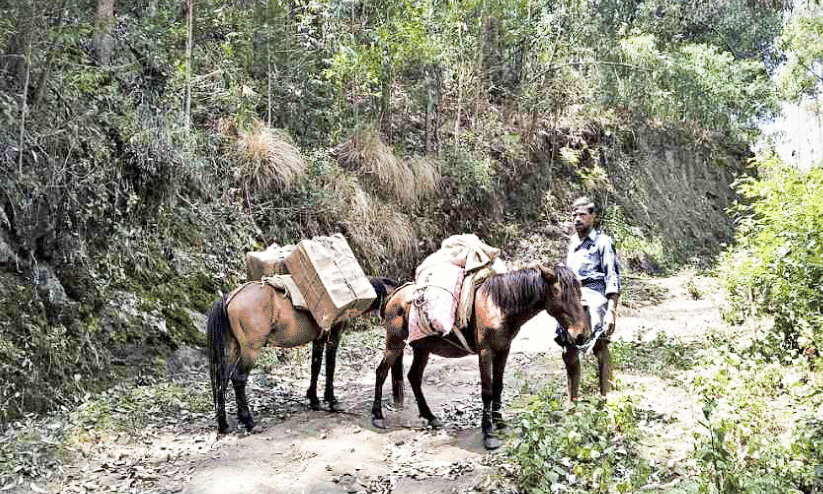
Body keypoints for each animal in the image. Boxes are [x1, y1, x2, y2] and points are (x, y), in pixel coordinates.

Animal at [208, 274, 398, 432]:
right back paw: (247, 421)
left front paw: (313, 399)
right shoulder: (334, 334)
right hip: (251, 349)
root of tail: (229, 297)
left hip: (232, 348)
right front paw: (331, 400)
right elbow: (330, 365)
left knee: (222, 380)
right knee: (238, 378)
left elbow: (316, 366)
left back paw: (223, 424)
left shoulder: (319, 339)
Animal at [370, 264, 588, 450]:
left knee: (414, 377)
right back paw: (377, 416)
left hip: (422, 348)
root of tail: (395, 294)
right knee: (381, 372)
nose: (581, 334)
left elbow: (498, 387)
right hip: (395, 343)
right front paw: (488, 434)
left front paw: (500, 423)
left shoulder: (503, 350)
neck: (498, 305)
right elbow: (487, 391)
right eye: (559, 292)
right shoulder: (485, 352)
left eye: (579, 292)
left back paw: (430, 417)